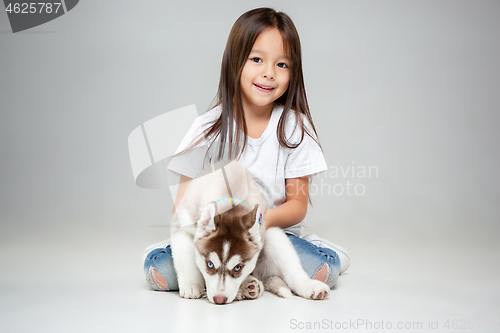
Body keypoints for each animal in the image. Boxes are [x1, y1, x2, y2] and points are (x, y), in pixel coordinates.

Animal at [170, 160, 330, 302]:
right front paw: (191, 285)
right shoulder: (181, 225)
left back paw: (307, 285)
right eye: (209, 264)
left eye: (237, 268)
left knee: (292, 269)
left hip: (273, 235)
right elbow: (186, 258)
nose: (219, 299)